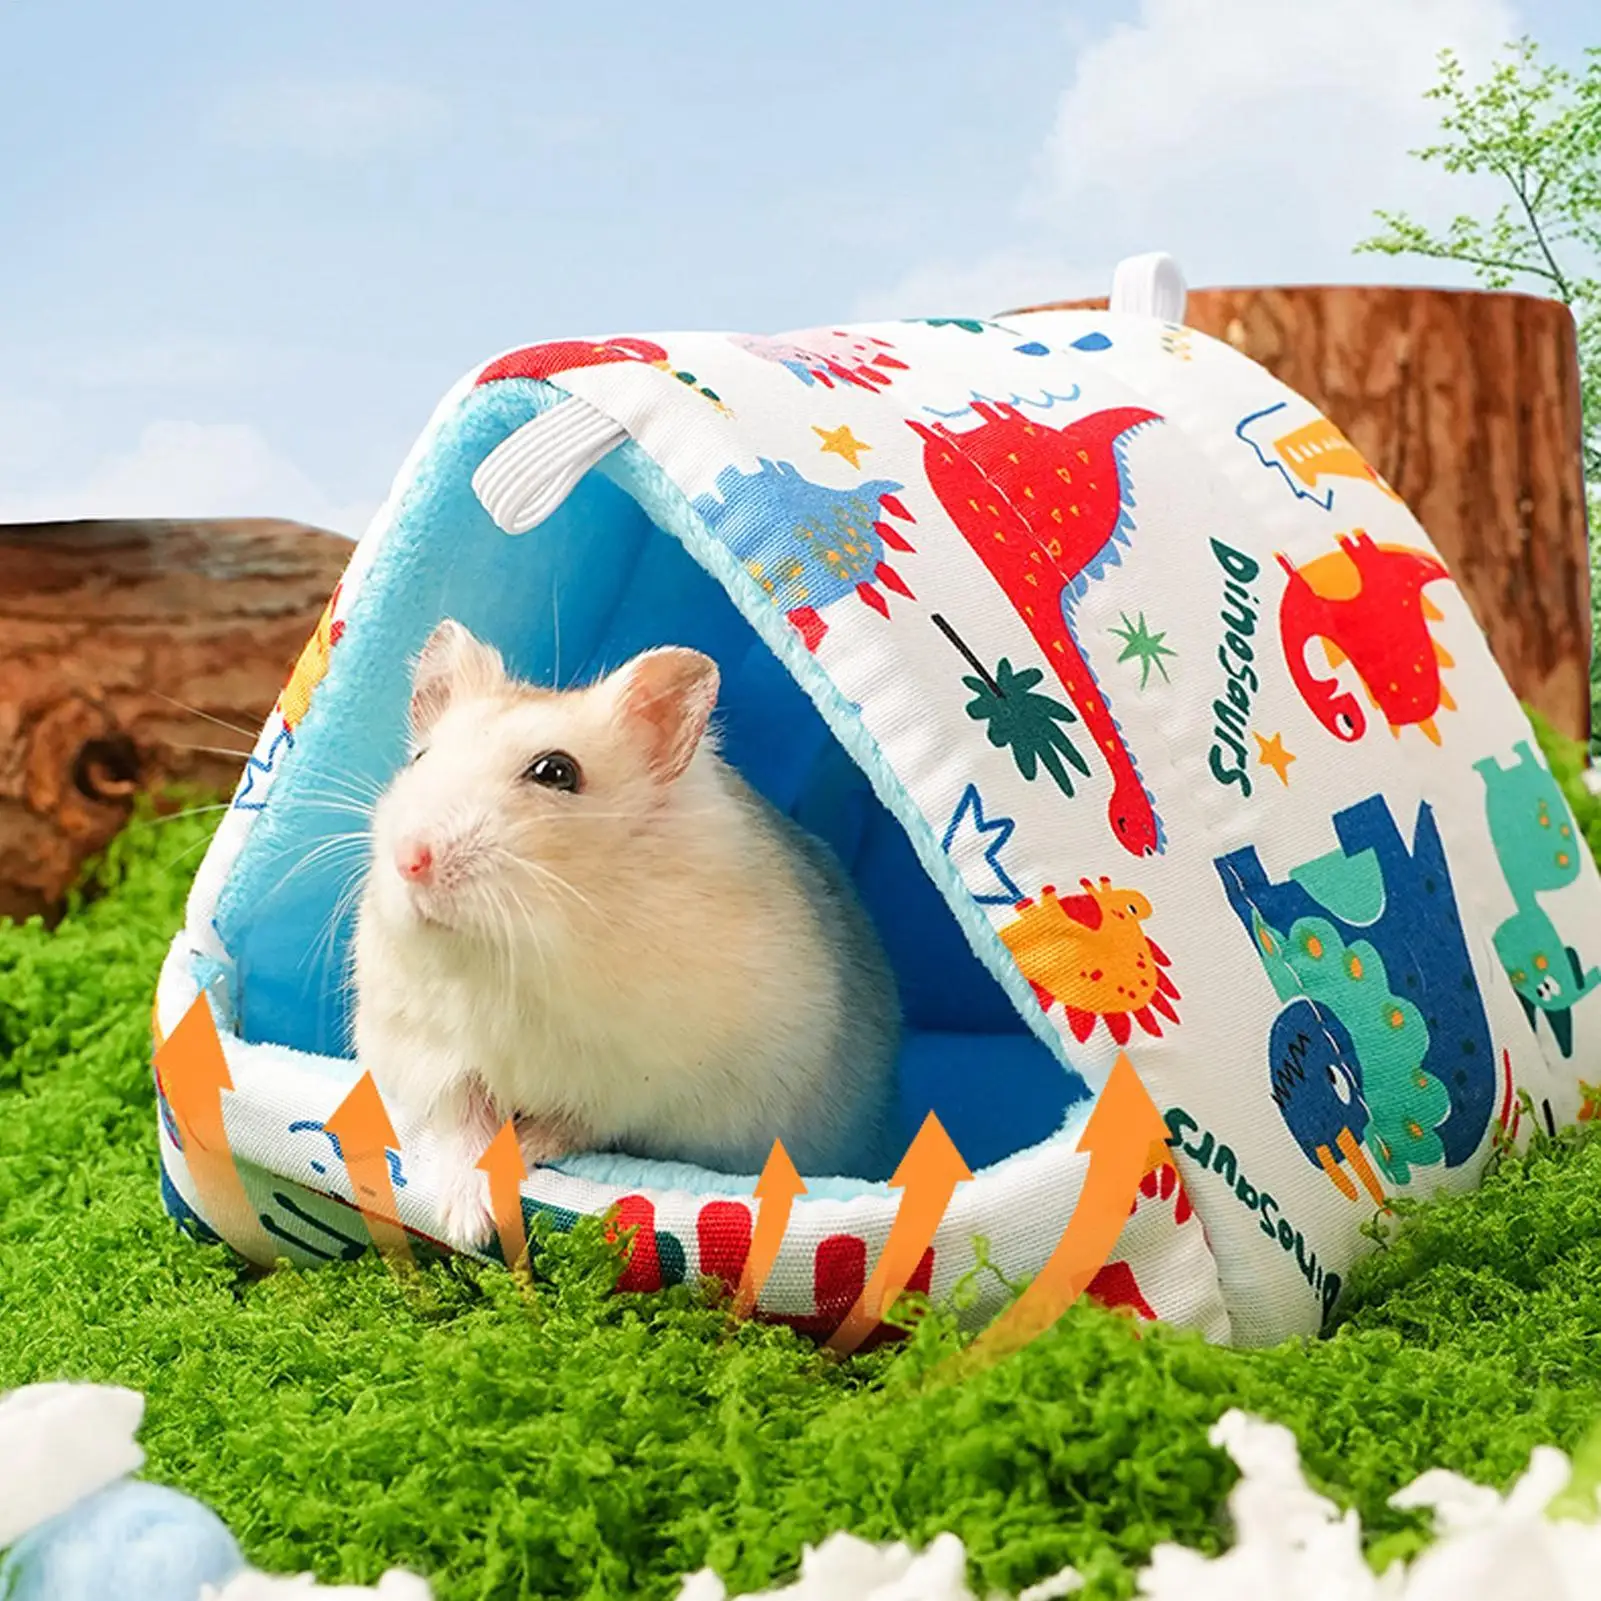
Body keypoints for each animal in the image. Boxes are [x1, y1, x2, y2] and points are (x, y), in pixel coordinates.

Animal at [352, 618, 902, 1251]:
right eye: (420, 757)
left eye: (557, 772)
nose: (410, 859)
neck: (513, 949)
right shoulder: (430, 1048)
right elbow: (466, 1117)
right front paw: (468, 1225)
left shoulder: (643, 1084)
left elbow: (568, 1123)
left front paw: (508, 1173)